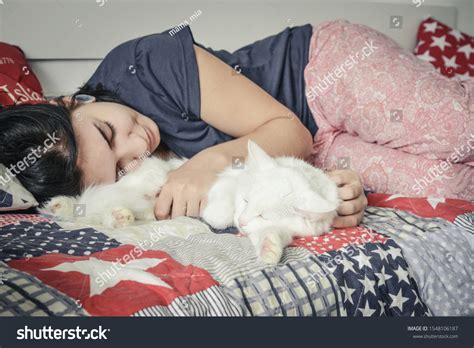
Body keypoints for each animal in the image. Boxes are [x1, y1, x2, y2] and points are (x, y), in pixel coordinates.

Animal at [39, 140, 336, 262]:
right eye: (245, 200)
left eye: (263, 215)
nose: (241, 222)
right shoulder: (227, 182)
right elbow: (222, 207)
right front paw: (218, 216)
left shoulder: (281, 229)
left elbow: (271, 236)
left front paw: (269, 252)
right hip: (148, 180)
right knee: (87, 207)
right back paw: (64, 206)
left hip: (144, 209)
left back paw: (120, 216)